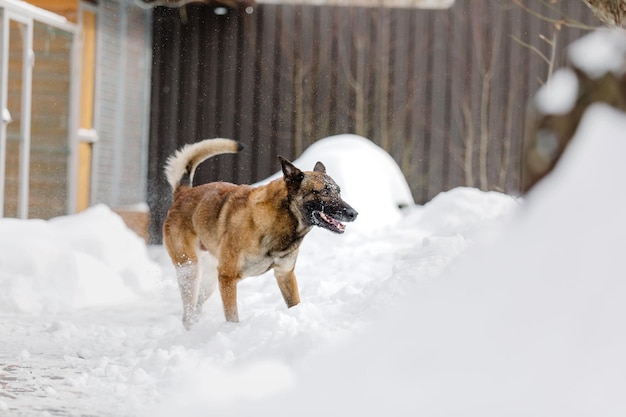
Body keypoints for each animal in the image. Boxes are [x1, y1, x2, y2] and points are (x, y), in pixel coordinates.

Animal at [161, 138, 356, 326]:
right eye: (324, 192)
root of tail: (183, 194)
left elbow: (294, 303)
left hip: (209, 278)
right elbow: (232, 317)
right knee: (188, 312)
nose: (354, 213)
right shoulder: (227, 279)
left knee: (196, 306)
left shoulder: (285, 274)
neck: (281, 219)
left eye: (339, 192)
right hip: (189, 269)